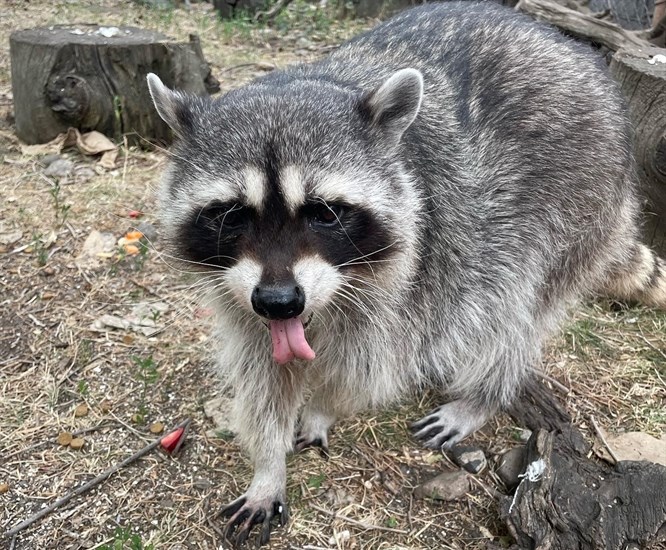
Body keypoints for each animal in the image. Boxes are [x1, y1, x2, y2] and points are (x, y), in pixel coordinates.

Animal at [147, 2, 664, 548]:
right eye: (231, 216)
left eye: (324, 213)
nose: (280, 302)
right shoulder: (240, 293)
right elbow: (263, 374)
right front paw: (268, 466)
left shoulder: (415, 269)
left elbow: (369, 362)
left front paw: (326, 404)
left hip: (575, 202)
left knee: (512, 309)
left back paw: (484, 395)